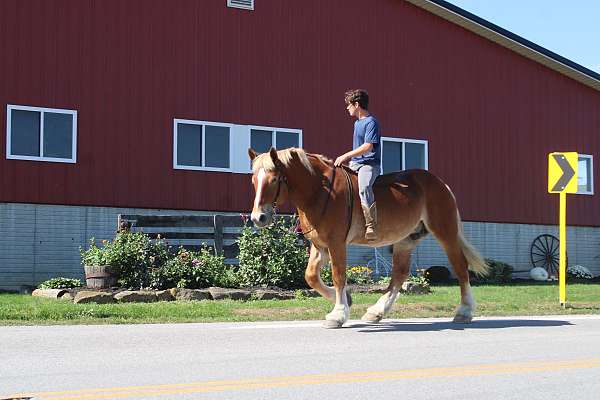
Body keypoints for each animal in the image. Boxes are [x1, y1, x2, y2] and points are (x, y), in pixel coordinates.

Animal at [248, 147, 488, 328]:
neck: (320, 191)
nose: (258, 217)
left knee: (460, 267)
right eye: (253, 181)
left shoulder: (336, 243)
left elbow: (338, 276)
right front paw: (347, 301)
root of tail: (440, 183)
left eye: (274, 179)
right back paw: (376, 312)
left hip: (445, 232)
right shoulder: (320, 245)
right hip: (406, 240)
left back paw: (464, 311)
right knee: (399, 275)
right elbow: (311, 276)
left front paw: (338, 314)